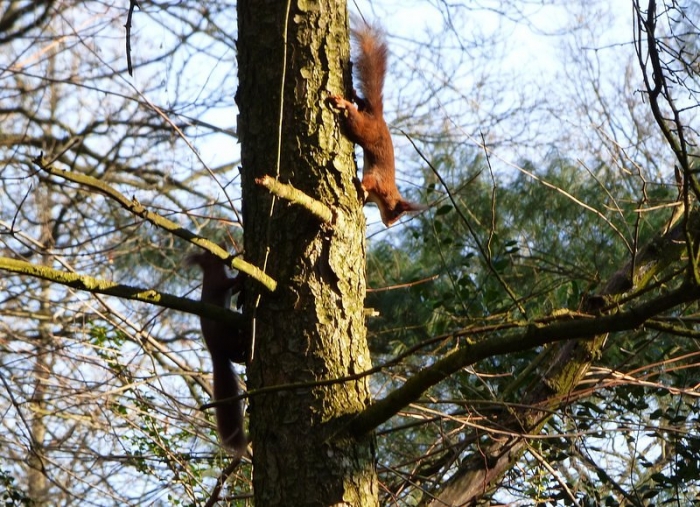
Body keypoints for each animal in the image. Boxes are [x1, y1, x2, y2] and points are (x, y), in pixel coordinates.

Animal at [186, 250, 248, 457]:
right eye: (207, 252)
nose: (222, 246)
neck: (211, 270)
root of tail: (215, 353)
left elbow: (234, 289)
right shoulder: (218, 282)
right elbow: (230, 283)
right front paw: (242, 275)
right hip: (225, 330)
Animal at [328, 21, 426, 226]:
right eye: (395, 212)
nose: (389, 225)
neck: (386, 193)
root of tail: (377, 118)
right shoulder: (378, 181)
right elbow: (368, 181)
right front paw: (362, 187)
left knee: (362, 104)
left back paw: (354, 94)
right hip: (363, 129)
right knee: (355, 116)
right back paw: (345, 103)